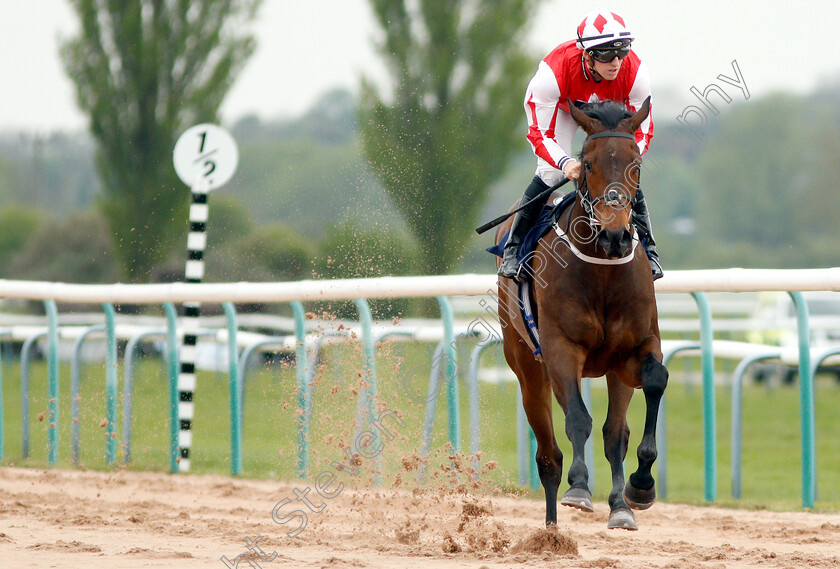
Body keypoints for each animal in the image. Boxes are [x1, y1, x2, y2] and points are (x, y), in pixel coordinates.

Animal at [496, 96, 668, 528]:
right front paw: (579, 488)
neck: (602, 269)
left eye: (636, 164)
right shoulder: (562, 348)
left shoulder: (635, 349)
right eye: (587, 164)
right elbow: (577, 417)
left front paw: (639, 488)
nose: (615, 235)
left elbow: (653, 383)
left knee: (614, 433)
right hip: (527, 367)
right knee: (548, 456)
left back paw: (620, 505)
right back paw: (551, 529)